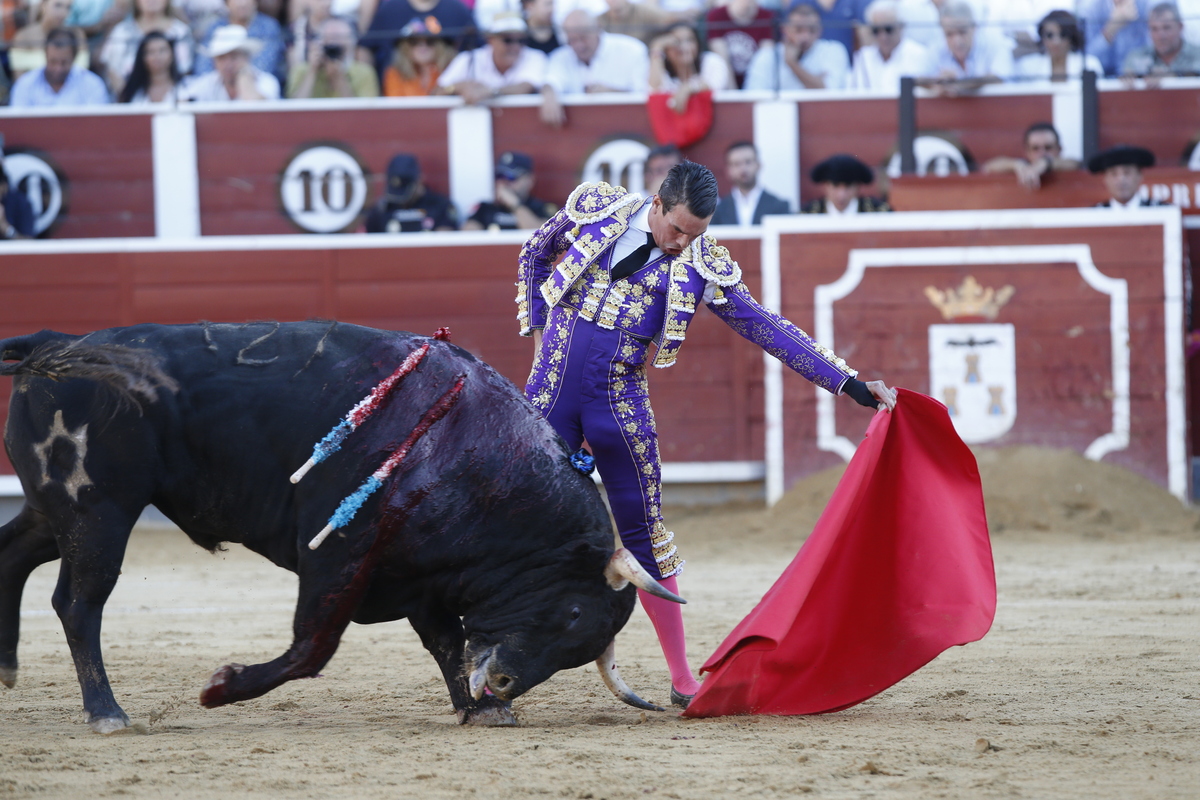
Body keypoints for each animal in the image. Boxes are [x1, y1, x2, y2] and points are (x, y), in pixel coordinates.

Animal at [0, 321, 686, 734]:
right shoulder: (338, 554)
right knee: (79, 603)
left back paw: (8, 668)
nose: (504, 684)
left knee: (14, 555)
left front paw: (477, 709)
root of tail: (53, 344)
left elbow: (446, 643)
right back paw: (106, 712)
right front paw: (222, 688)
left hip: (55, 509)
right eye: (572, 614)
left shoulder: (420, 579)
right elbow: (313, 647)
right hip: (98, 510)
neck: (470, 454)